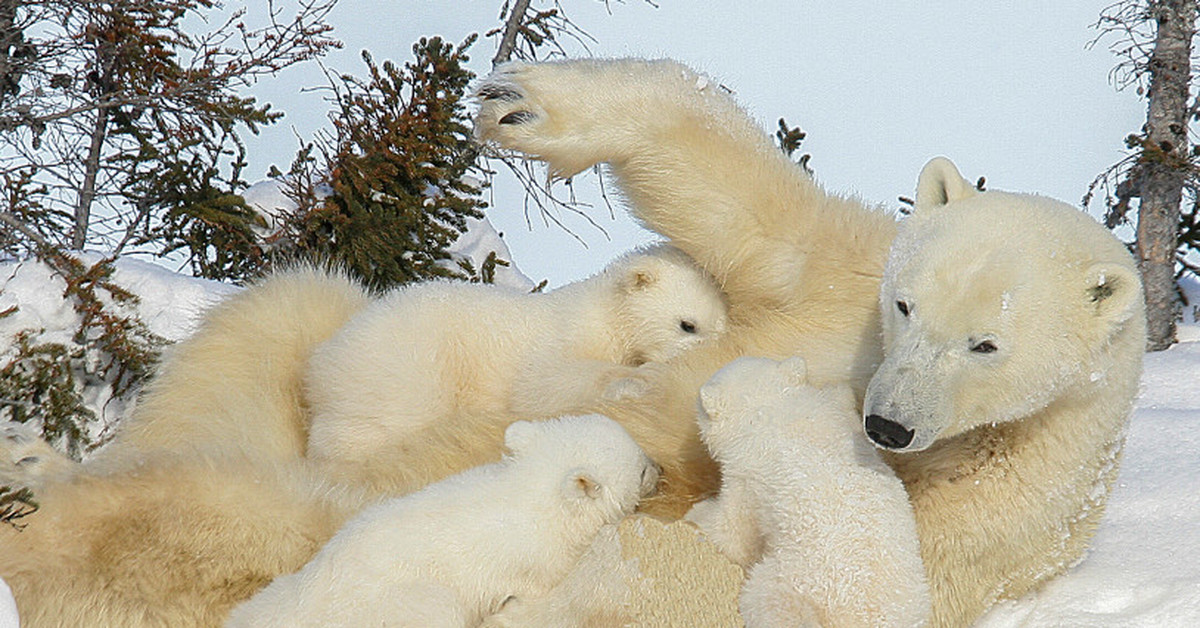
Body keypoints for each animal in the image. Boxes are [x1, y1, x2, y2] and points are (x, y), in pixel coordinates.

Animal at [225, 417, 657, 628]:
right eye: (640, 468)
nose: (661, 468)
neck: (531, 493)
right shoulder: (534, 558)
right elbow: (531, 588)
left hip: (283, 589)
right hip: (395, 603)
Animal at [304, 244, 724, 497]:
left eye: (722, 323)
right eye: (687, 324)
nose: (712, 360)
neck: (606, 314)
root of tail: (322, 361)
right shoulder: (564, 334)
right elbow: (543, 383)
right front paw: (632, 382)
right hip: (402, 369)